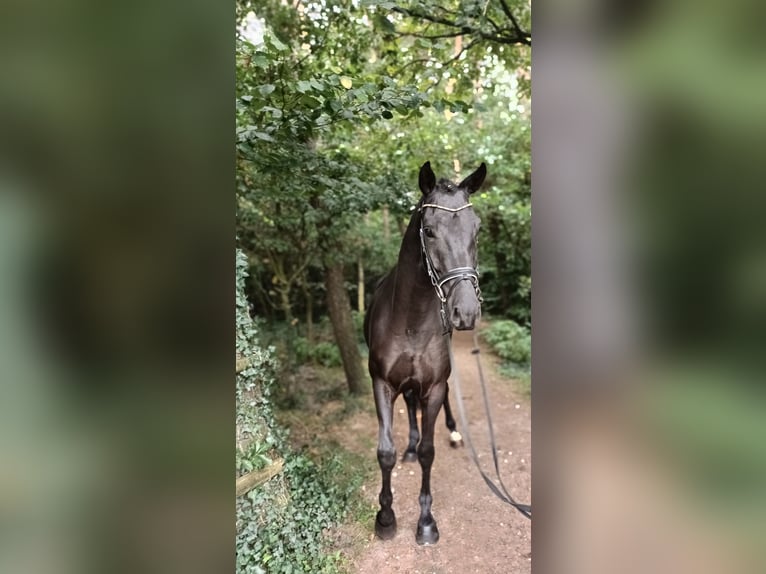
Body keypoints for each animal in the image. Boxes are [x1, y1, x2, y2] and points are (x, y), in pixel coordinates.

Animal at [364, 161, 486, 544]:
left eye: (476, 228)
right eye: (429, 231)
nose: (466, 312)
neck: (412, 321)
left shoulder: (434, 387)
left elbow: (430, 453)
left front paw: (427, 522)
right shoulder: (382, 384)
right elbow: (385, 452)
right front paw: (386, 517)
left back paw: (453, 432)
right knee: (410, 406)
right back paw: (410, 446)